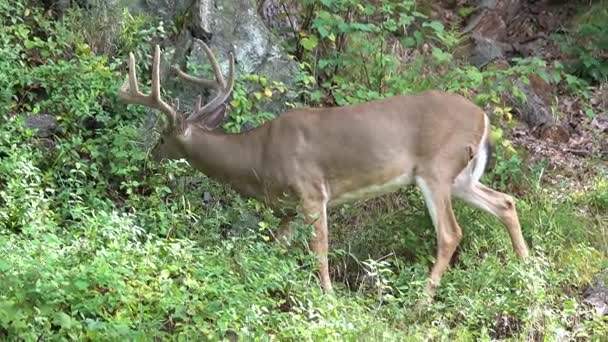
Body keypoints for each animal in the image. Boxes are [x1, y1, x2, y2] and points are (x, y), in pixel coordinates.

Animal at [117, 40, 528, 296]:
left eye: (163, 137)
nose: (150, 156)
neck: (257, 157)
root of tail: (483, 118)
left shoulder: (312, 190)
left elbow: (320, 247)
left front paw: (329, 297)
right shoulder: (291, 207)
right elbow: (277, 245)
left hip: (437, 167)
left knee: (450, 233)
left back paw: (420, 303)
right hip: (461, 176)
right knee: (505, 202)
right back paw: (527, 271)